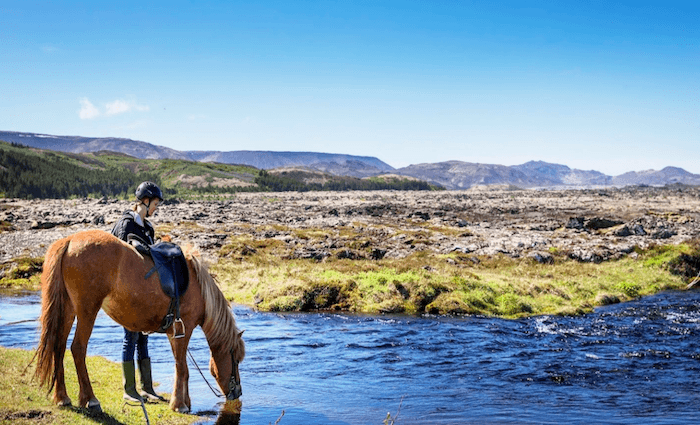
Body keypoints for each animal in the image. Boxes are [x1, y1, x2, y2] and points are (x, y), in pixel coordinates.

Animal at [34, 230, 246, 412]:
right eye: (235, 359)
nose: (238, 393)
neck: (198, 288)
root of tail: (69, 241)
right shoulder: (181, 331)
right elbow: (182, 367)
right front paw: (180, 405)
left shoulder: (174, 333)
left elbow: (182, 366)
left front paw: (185, 401)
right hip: (87, 311)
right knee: (78, 348)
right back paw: (90, 399)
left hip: (68, 310)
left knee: (58, 346)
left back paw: (62, 397)